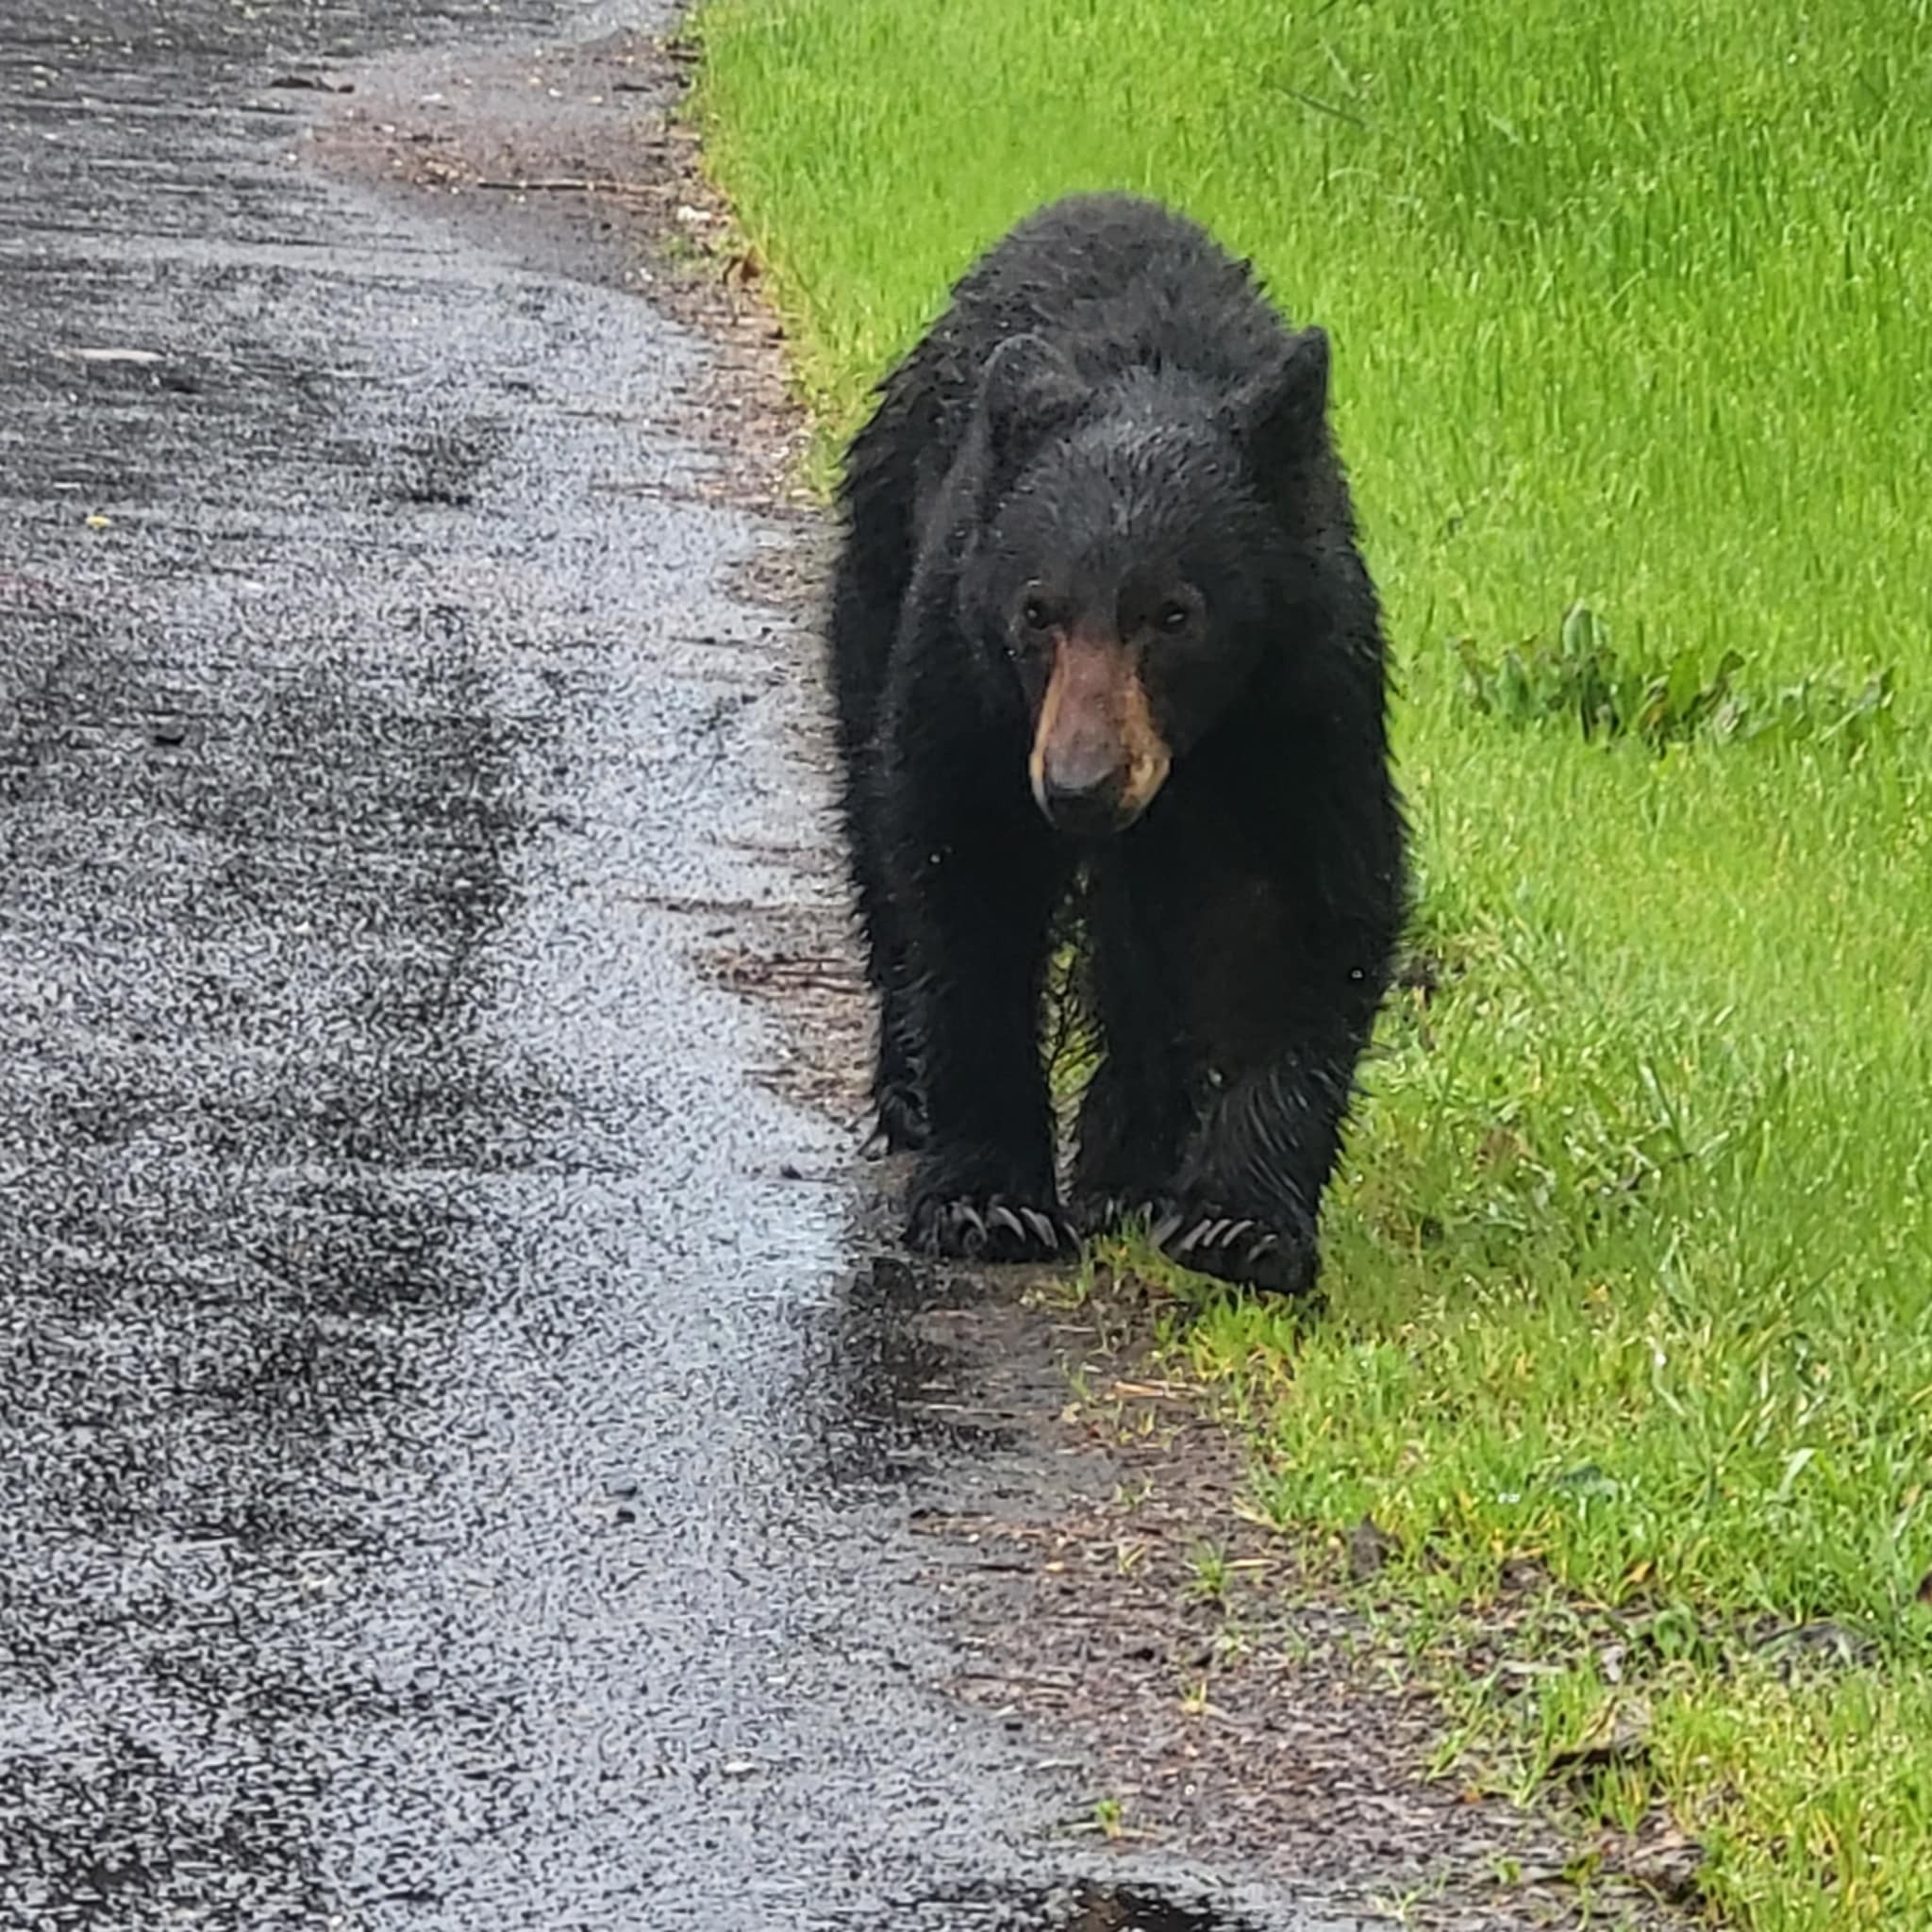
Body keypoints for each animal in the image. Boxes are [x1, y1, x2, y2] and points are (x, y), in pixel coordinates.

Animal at [825, 191, 1406, 1296]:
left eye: (1174, 614)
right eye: (1037, 609)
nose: (1079, 785)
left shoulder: (1305, 694)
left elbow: (1303, 902)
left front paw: (1241, 1221)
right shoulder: (966, 675)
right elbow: (962, 877)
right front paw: (986, 1197)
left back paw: (1126, 1167)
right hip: (874, 570)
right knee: (874, 829)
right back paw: (911, 1088)